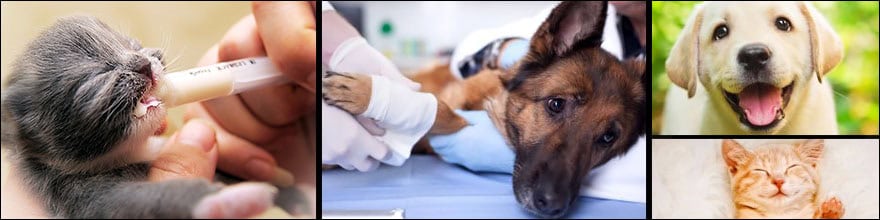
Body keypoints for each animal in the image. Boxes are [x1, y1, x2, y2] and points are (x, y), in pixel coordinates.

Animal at [0, 15, 280, 218]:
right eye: (95, 79)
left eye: (133, 46)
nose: (144, 65)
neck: (134, 150)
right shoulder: (82, 196)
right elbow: (146, 199)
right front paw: (225, 200)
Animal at [324, 1, 648, 218]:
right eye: (556, 104)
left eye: (607, 138)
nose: (552, 205)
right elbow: (436, 104)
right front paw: (365, 91)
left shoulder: (450, 125)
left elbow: (436, 112)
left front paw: (368, 94)